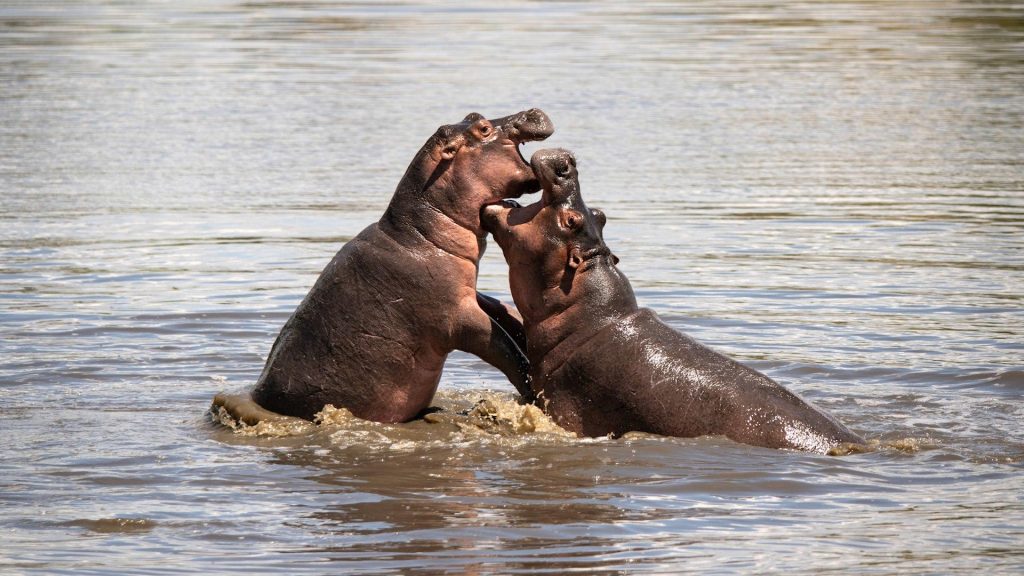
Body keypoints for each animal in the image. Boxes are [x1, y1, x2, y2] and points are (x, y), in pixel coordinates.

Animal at [214, 110, 552, 424]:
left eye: (473, 115)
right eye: (482, 128)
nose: (532, 111)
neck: (420, 234)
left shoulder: (469, 293)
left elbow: (503, 312)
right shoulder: (456, 317)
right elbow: (502, 346)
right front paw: (532, 390)